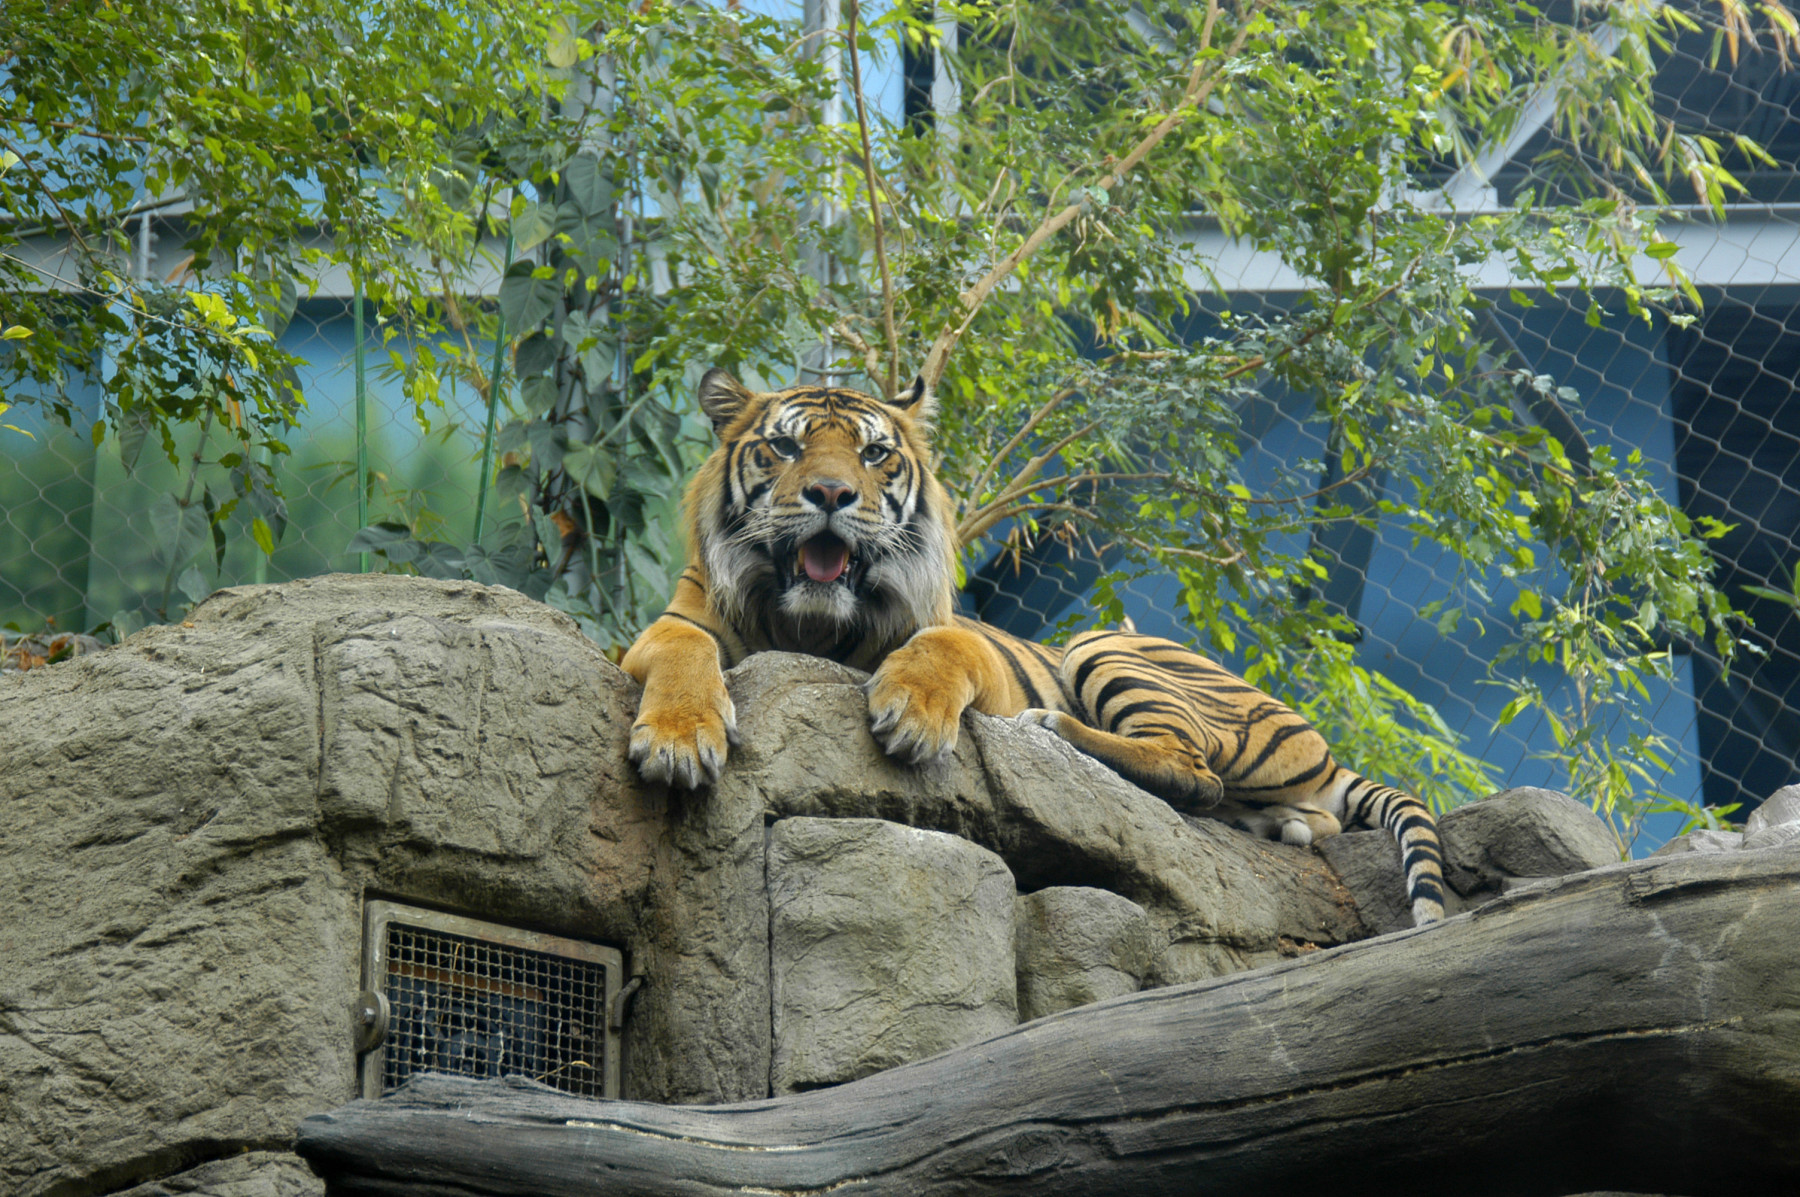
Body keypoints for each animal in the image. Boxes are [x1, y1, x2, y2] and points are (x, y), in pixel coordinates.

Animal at [620, 369, 1447, 925]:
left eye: (875, 455)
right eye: (784, 447)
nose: (830, 494)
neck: (811, 622)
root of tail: (1324, 748)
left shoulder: (973, 650)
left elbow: (942, 650)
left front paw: (911, 715)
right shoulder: (675, 624)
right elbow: (683, 651)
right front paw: (679, 740)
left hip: (1102, 644)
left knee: (1192, 766)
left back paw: (1055, 730)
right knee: (1252, 799)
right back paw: (1284, 825)